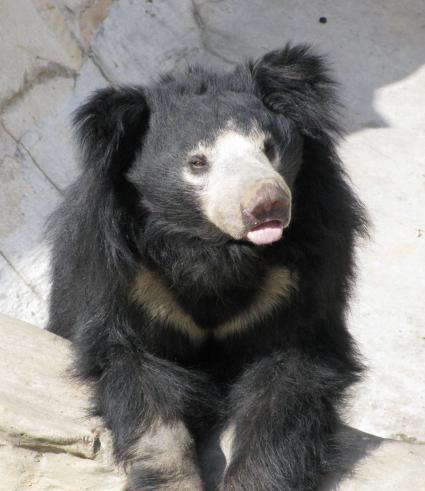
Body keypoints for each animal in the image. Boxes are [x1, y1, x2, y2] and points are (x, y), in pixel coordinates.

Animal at [46, 44, 364, 490]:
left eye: (268, 148)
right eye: (198, 163)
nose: (266, 203)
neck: (212, 250)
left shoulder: (296, 279)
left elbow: (287, 384)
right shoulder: (128, 284)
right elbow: (138, 379)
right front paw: (171, 480)